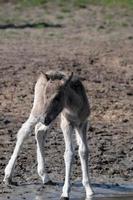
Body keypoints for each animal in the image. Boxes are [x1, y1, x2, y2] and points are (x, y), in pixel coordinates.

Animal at [3, 71, 93, 199]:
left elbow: (84, 151)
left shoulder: (83, 123)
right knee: (24, 131)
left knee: (39, 131)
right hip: (39, 111)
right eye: (45, 96)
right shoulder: (66, 123)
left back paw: (45, 177)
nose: (43, 118)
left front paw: (89, 190)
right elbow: (69, 153)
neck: (74, 108)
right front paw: (65, 192)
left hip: (51, 118)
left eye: (57, 97)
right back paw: (8, 176)